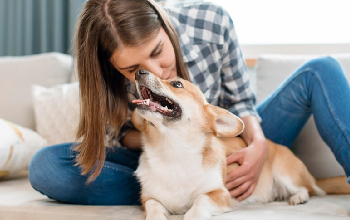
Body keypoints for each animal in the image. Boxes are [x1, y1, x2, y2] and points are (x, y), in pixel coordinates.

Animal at [131, 69, 350, 220]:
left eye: (176, 84)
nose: (139, 71)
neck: (172, 150)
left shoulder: (220, 195)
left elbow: (200, 201)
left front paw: (191, 215)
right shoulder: (148, 199)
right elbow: (154, 208)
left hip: (285, 173)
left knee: (308, 188)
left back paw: (299, 197)